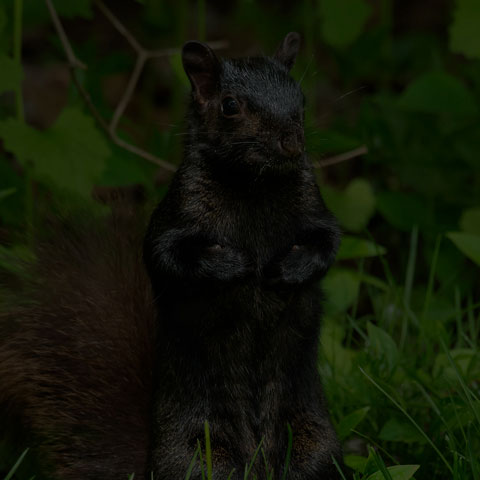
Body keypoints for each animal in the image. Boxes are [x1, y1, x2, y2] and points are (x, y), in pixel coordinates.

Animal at [1, 33, 344, 480]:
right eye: (229, 105)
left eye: (300, 99)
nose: (292, 143)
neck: (253, 185)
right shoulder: (177, 212)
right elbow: (165, 255)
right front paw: (234, 265)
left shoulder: (313, 207)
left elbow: (328, 241)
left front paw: (290, 268)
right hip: (197, 457)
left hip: (311, 444)